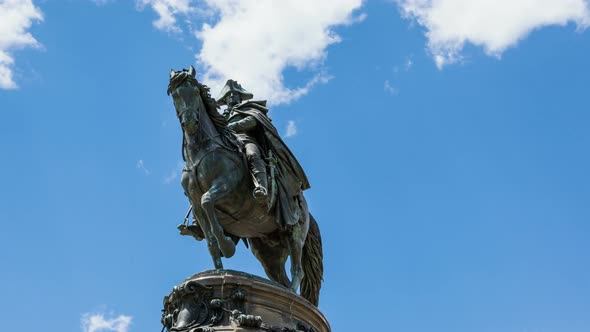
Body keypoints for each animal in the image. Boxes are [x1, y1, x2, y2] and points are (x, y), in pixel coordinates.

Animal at [168, 67, 324, 306]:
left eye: (193, 91)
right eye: (175, 95)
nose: (190, 123)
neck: (202, 149)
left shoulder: (225, 187)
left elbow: (208, 201)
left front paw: (227, 246)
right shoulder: (194, 203)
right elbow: (210, 238)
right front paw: (219, 268)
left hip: (295, 234)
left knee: (297, 271)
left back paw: (292, 299)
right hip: (267, 251)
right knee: (281, 278)